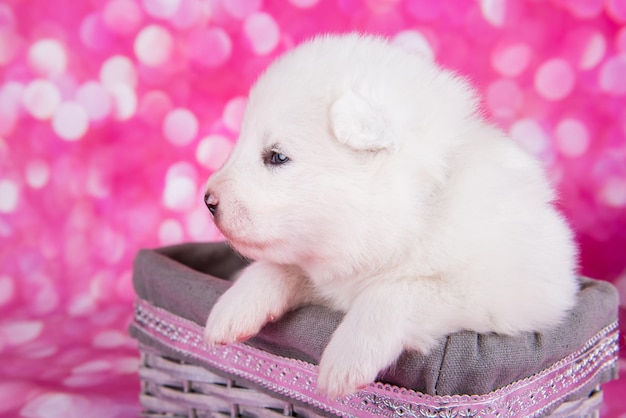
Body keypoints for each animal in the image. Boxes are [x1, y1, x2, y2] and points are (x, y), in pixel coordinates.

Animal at [202, 32, 576, 398]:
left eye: (277, 156)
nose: (207, 200)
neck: (418, 209)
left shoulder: (504, 295)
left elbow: (396, 291)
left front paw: (347, 358)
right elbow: (281, 266)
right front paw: (234, 305)